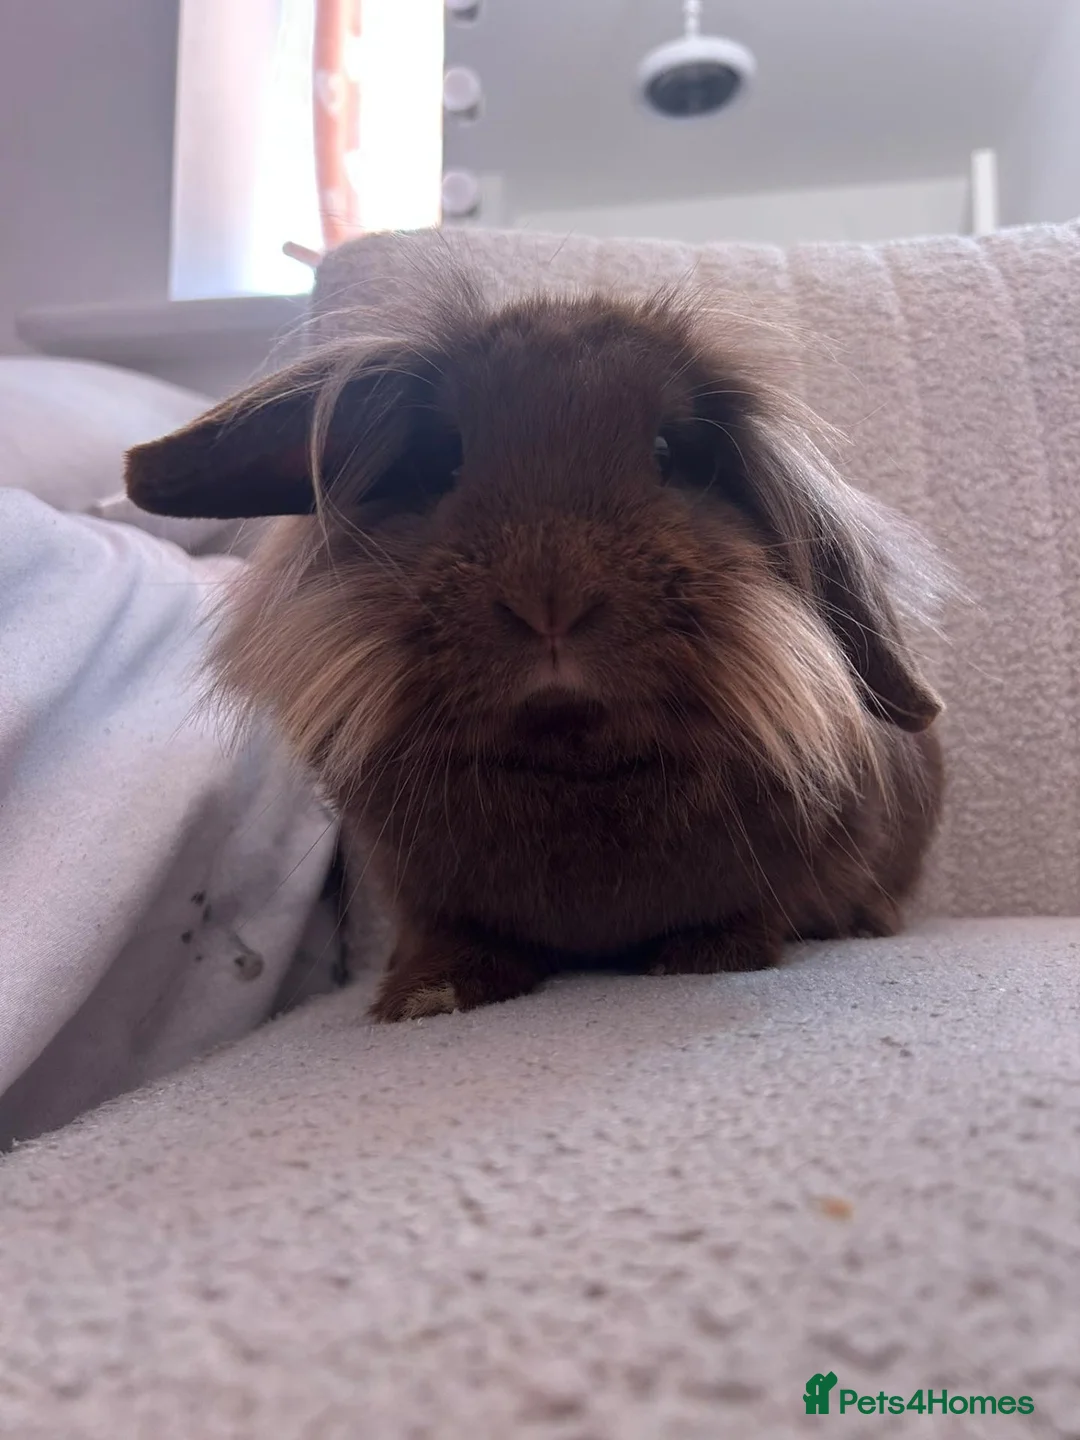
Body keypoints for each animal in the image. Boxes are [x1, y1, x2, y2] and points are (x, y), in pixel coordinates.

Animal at [125, 266, 944, 1023]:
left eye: (668, 454)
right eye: (443, 462)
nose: (550, 597)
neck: (570, 762)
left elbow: (752, 915)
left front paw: (704, 957)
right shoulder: (426, 895)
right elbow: (455, 939)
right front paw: (425, 995)